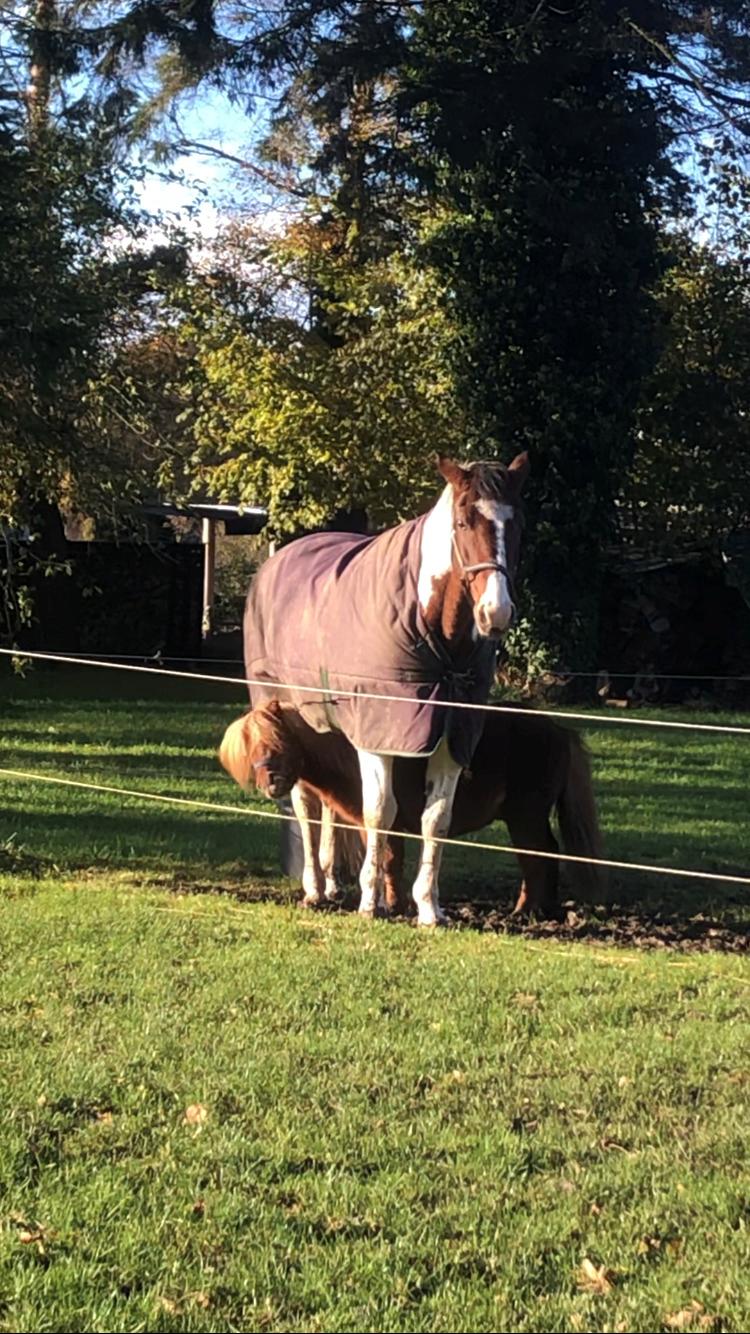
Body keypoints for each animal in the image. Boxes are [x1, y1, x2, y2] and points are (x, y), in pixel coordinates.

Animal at [217, 699, 600, 917]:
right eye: (251, 749)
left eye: (279, 740)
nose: (272, 783)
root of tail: (560, 729)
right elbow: (389, 862)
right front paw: (392, 903)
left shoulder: (383, 820)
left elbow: (387, 861)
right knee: (547, 853)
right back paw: (544, 910)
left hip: (526, 817)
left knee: (537, 857)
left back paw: (526, 912)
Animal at [238, 453, 525, 923]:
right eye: (463, 521)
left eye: (516, 524)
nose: (495, 613)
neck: (435, 637)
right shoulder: (378, 739)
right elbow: (379, 812)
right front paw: (370, 902)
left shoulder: (452, 740)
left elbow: (436, 819)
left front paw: (429, 908)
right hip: (286, 720)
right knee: (305, 802)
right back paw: (314, 888)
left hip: (331, 727)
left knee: (328, 802)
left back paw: (332, 883)